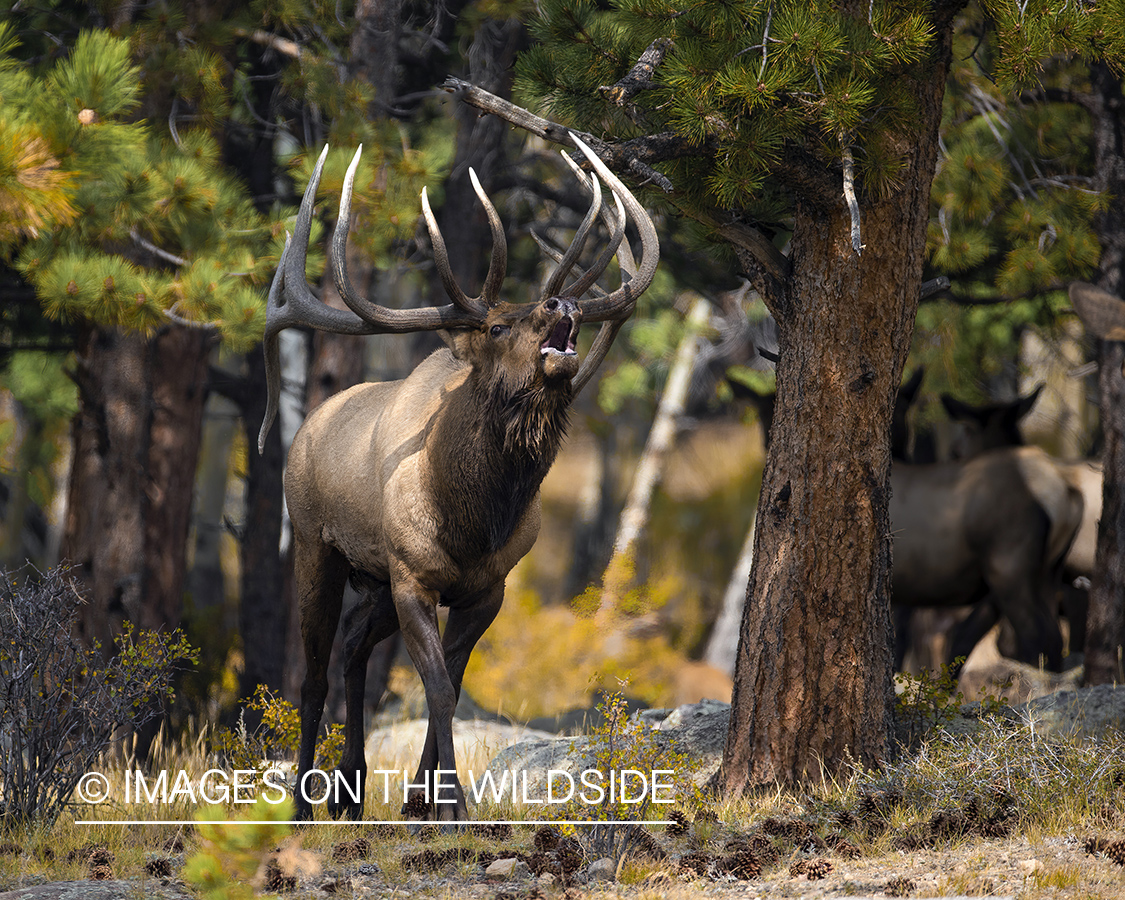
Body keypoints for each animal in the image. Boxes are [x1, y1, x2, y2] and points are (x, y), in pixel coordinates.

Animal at [257, 135, 657, 823]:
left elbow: (453, 677)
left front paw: (424, 797)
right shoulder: (413, 576)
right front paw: (452, 805)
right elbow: (439, 689)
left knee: (353, 644)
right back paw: (303, 806)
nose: (562, 301)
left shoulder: (487, 587)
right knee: (310, 674)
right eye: (496, 325)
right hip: (318, 546)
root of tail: (306, 429)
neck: (472, 520)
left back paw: (350, 788)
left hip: (374, 580)